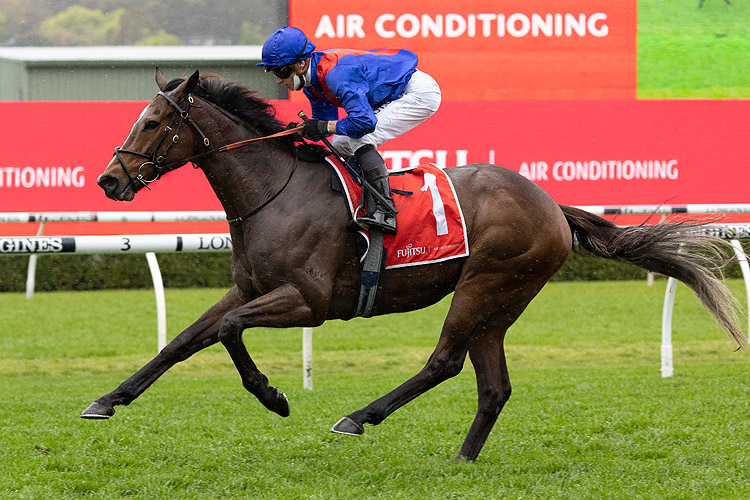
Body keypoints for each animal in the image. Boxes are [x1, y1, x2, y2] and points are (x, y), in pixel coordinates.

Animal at [83, 69, 748, 460]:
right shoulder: (249, 288)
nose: (110, 180)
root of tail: (549, 204)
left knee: (445, 361)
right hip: (501, 302)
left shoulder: (309, 301)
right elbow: (184, 340)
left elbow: (226, 330)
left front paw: (273, 395)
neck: (274, 192)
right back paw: (462, 458)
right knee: (493, 384)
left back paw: (359, 417)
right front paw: (108, 400)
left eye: (153, 122)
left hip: (485, 284)